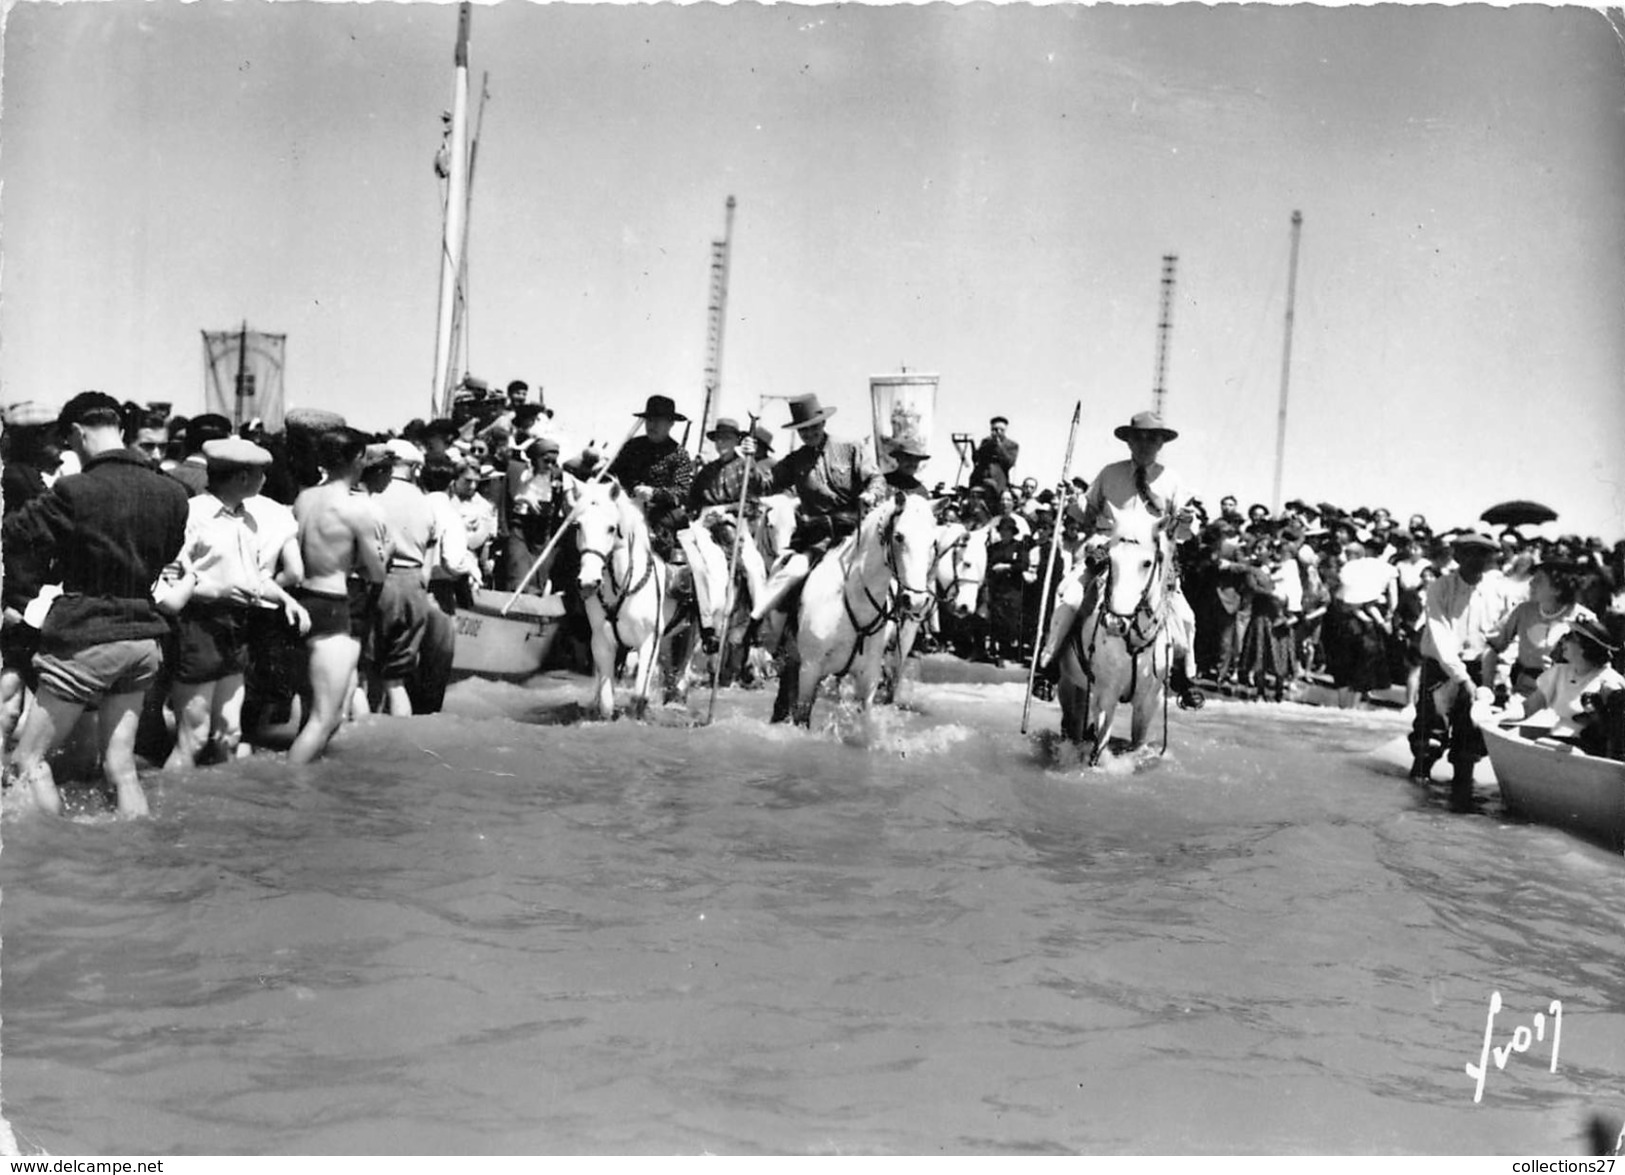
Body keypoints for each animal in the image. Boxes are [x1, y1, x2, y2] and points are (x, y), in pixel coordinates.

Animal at [575, 477, 669, 718]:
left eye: (611, 528)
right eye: (578, 525)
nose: (588, 581)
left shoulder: (650, 639)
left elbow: (639, 695)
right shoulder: (601, 641)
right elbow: (607, 703)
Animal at [776, 490, 936, 724]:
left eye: (933, 542)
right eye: (899, 536)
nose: (915, 600)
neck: (854, 603)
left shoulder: (867, 678)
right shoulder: (809, 670)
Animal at [1053, 513, 1170, 767]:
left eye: (1147, 563)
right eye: (1111, 561)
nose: (1116, 623)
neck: (1133, 643)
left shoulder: (1149, 701)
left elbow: (1137, 745)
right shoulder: (1106, 695)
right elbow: (1098, 748)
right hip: (1069, 682)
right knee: (1071, 724)